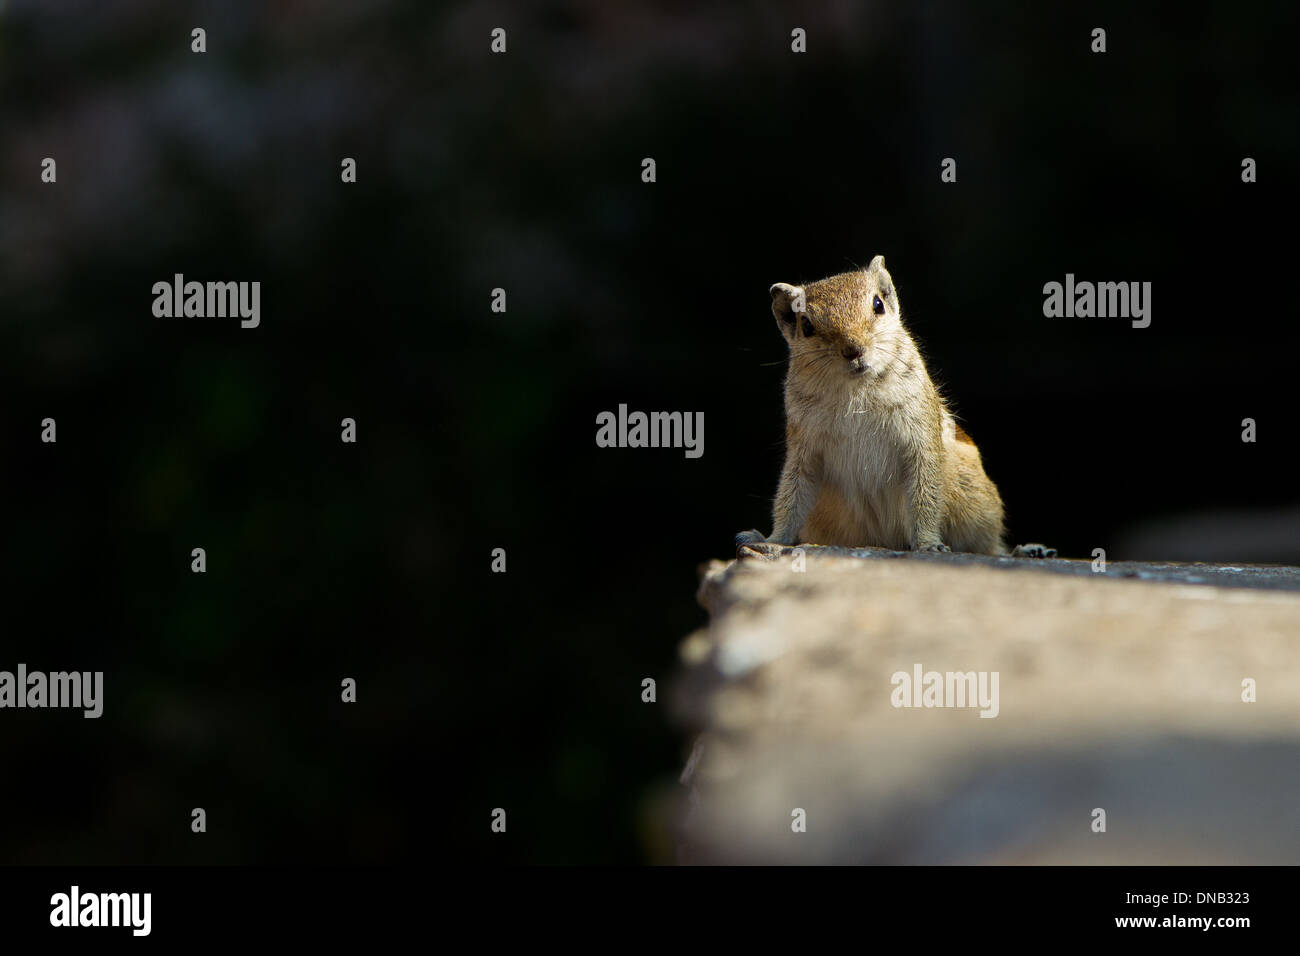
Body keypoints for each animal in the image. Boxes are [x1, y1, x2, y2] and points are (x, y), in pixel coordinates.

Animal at [738, 256, 1050, 561]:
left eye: (878, 305)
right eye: (807, 326)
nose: (853, 350)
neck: (856, 388)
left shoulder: (920, 440)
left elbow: (926, 493)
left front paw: (928, 544)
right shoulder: (804, 451)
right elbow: (791, 496)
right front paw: (772, 540)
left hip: (976, 504)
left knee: (989, 547)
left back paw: (1027, 551)